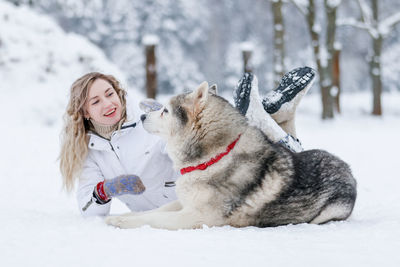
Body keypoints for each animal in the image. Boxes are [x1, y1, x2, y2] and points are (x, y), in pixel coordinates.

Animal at [104, 82, 358, 230]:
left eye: (165, 111)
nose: (142, 117)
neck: (212, 158)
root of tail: (349, 170)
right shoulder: (184, 202)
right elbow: (155, 211)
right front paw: (124, 216)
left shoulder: (199, 217)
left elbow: (154, 219)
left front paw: (121, 221)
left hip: (327, 213)